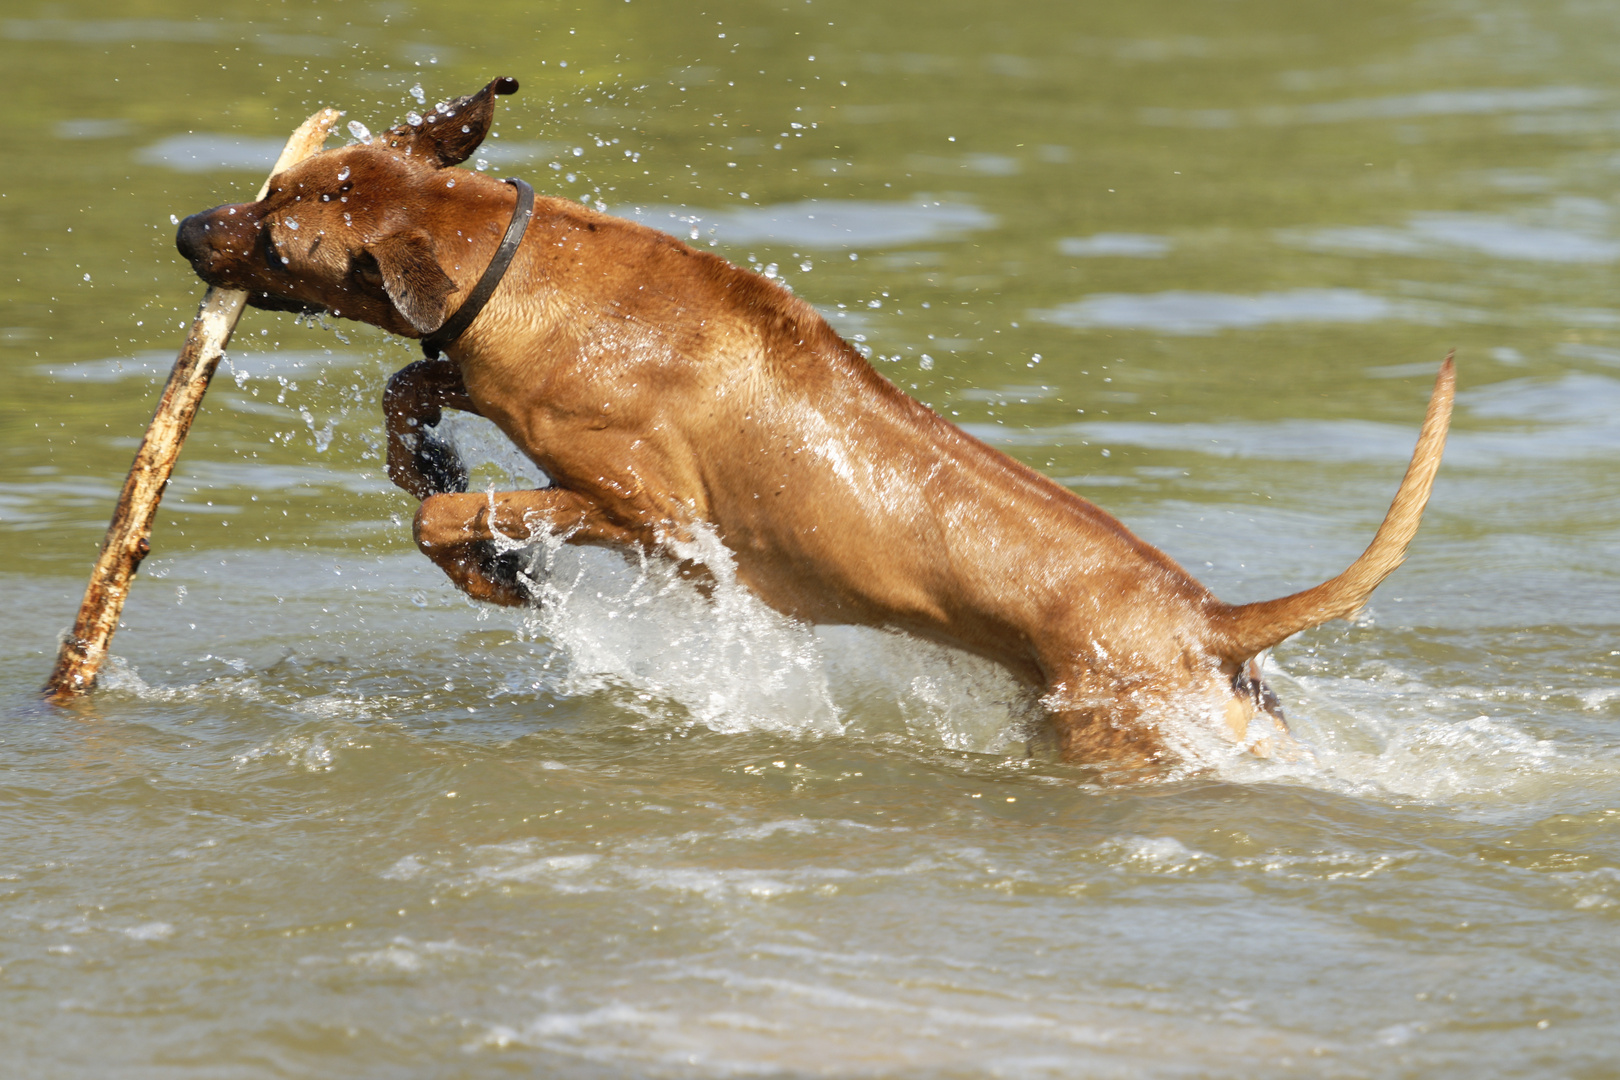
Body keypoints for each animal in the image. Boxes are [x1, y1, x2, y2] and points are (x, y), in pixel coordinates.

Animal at [177, 78, 1458, 767]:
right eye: (271, 188)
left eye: (277, 233)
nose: (187, 228)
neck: (521, 263)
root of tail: (1204, 617)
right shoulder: (483, 373)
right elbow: (411, 391)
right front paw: (420, 449)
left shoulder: (655, 519)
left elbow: (453, 517)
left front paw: (493, 565)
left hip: (1117, 733)